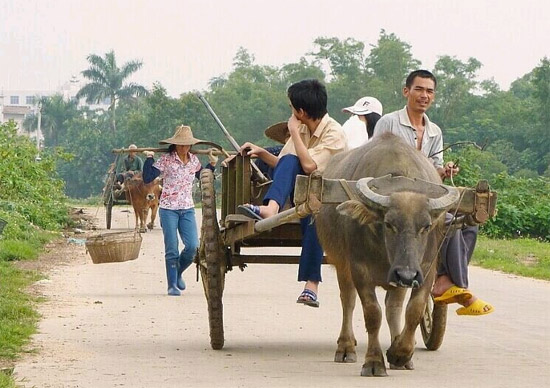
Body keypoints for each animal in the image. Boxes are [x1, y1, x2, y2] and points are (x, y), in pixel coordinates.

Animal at [314, 133, 462, 376]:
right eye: (389, 224)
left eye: (426, 226)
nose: (406, 275)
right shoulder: (359, 269)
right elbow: (372, 314)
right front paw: (374, 362)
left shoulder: (425, 270)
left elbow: (413, 311)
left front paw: (399, 353)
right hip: (342, 263)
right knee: (348, 300)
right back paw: (346, 347)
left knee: (394, 307)